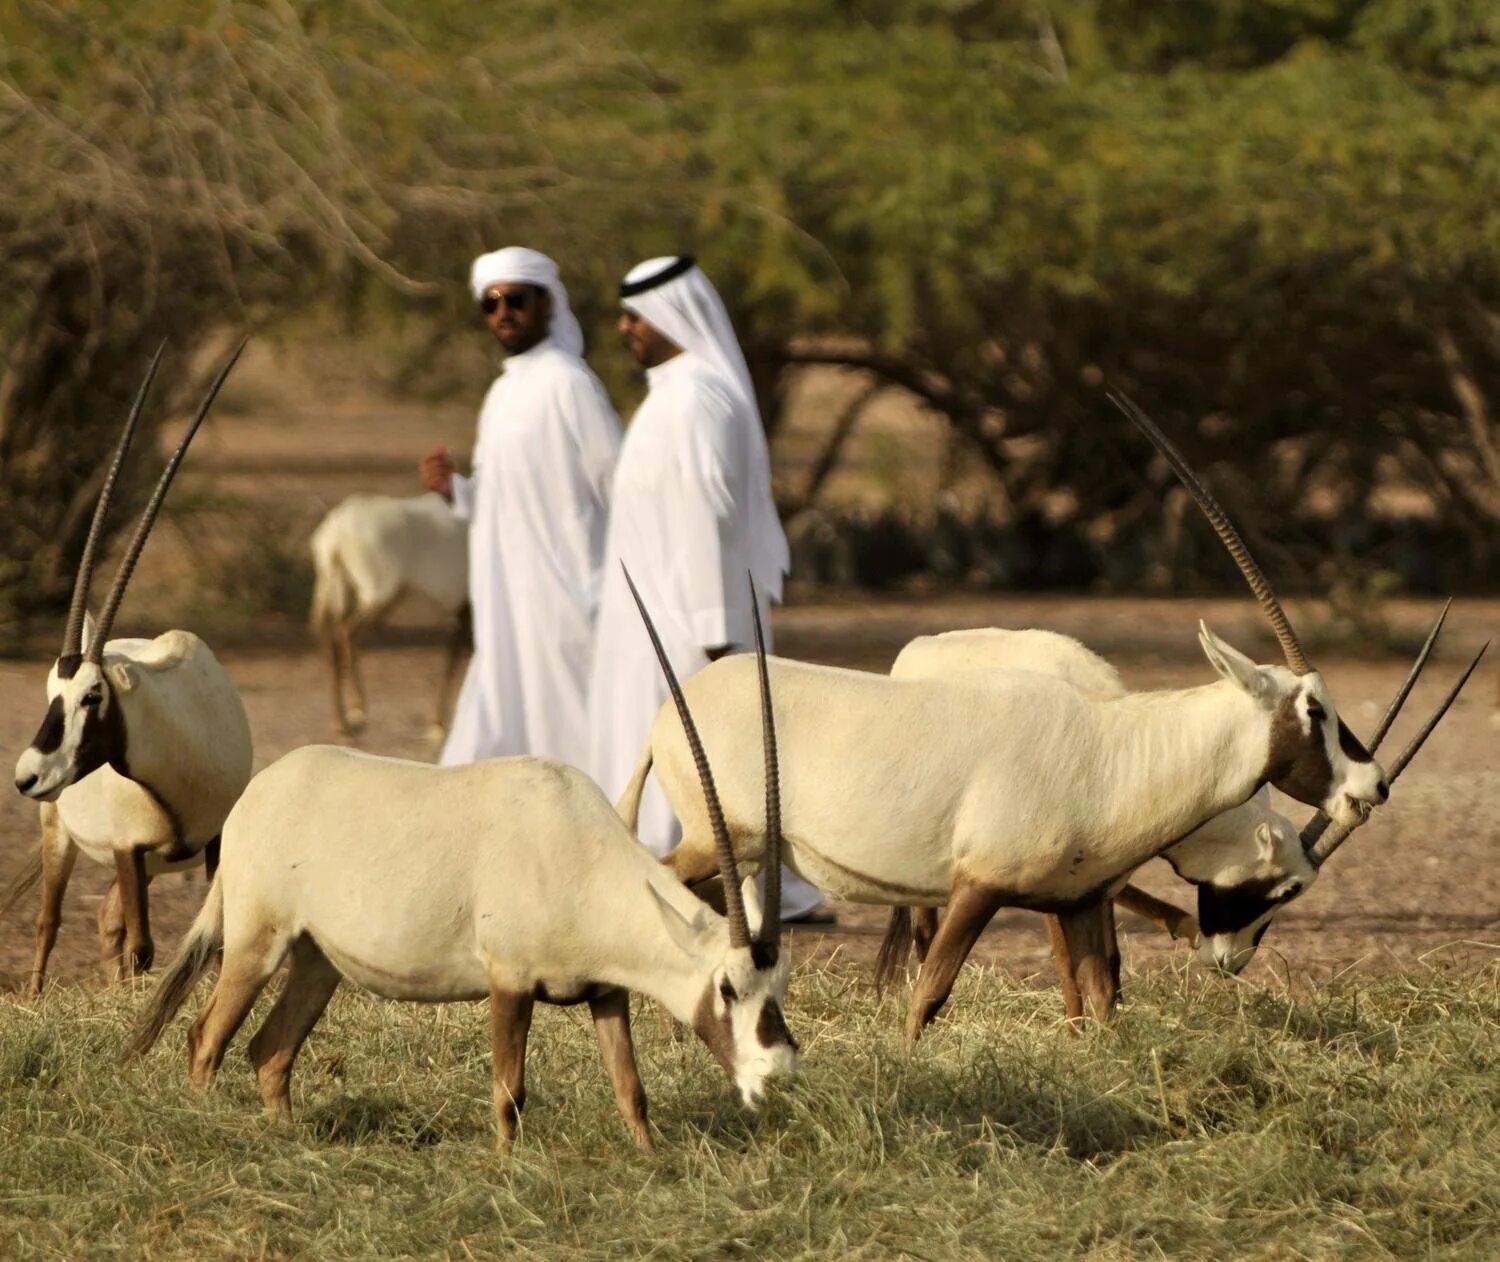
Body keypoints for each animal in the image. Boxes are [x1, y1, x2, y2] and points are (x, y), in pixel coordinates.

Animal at [7, 346, 252, 996]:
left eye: (92, 696)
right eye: (51, 691)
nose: (26, 774)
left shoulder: (215, 840)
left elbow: (212, 942)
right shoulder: (129, 847)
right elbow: (143, 946)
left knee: (105, 918)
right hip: (59, 831)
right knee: (50, 919)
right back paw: (35, 998)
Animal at [132, 570, 798, 1152]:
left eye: (779, 985)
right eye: (728, 988)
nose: (779, 1068)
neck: (578, 852)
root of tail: (257, 793)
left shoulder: (605, 992)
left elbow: (631, 1091)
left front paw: (652, 1161)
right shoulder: (510, 980)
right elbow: (510, 1093)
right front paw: (505, 1168)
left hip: (317, 961)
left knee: (270, 1052)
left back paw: (288, 1141)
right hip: (257, 944)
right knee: (206, 1037)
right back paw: (205, 1127)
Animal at [306, 486, 465, 732]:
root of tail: (336, 533)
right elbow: (454, 661)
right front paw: (437, 724)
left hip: (338, 591)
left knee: (330, 641)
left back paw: (341, 721)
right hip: (377, 596)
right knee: (346, 632)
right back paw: (358, 708)